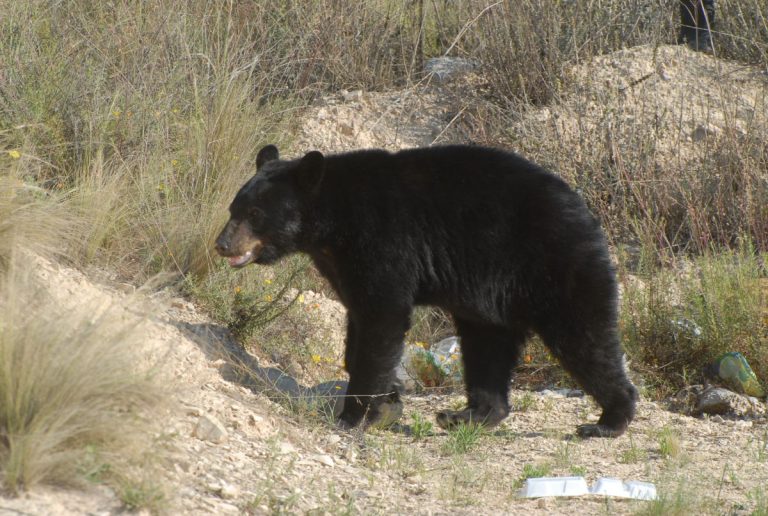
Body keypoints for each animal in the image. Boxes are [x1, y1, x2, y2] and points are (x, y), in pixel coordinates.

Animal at [215, 144, 638, 438]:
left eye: (255, 214)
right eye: (233, 208)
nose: (222, 244)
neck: (332, 222)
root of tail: (586, 211)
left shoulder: (383, 240)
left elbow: (382, 319)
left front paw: (354, 415)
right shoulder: (342, 265)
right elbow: (358, 321)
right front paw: (388, 399)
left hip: (554, 265)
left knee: (585, 338)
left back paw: (607, 420)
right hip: (491, 300)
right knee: (487, 348)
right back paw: (467, 415)